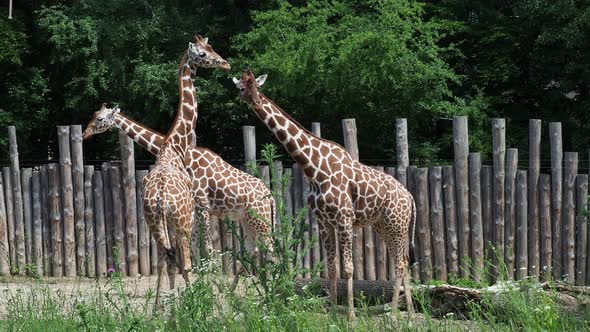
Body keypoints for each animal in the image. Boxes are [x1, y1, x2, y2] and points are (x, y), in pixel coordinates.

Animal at [82, 104, 276, 270]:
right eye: (93, 114)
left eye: (99, 118)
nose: (85, 134)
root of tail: (272, 197)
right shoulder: (194, 208)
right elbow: (194, 246)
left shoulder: (202, 205)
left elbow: (207, 247)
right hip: (246, 219)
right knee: (255, 249)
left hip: (261, 220)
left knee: (271, 250)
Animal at [141, 34, 231, 306]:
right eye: (201, 54)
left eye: (210, 47)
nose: (225, 64)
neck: (174, 147)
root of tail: (161, 198)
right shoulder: (191, 215)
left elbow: (168, 265)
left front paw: (167, 304)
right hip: (183, 222)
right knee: (186, 262)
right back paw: (197, 303)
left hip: (155, 223)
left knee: (165, 260)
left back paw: (159, 307)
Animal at [234, 68, 418, 320]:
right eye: (241, 86)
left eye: (256, 85)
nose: (252, 98)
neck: (313, 167)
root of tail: (409, 197)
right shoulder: (323, 221)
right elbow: (331, 268)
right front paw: (332, 312)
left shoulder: (344, 218)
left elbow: (348, 269)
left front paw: (350, 316)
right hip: (384, 225)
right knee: (404, 260)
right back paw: (409, 312)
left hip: (396, 224)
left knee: (400, 264)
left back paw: (393, 313)